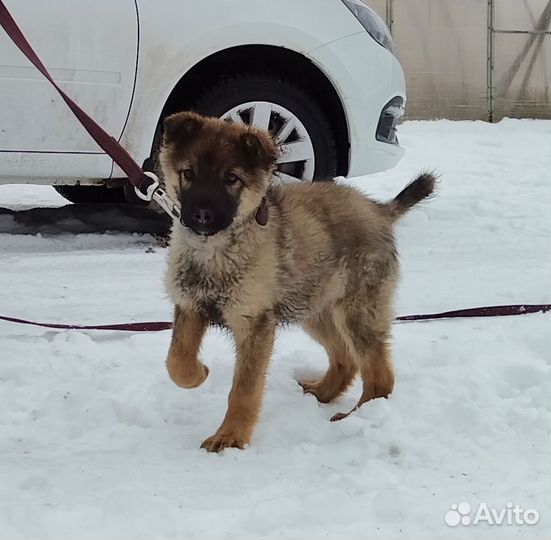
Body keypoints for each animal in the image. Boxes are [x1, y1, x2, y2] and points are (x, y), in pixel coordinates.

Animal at [160, 110, 436, 452]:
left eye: (231, 178)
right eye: (188, 173)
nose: (201, 216)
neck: (215, 252)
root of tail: (379, 210)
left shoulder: (256, 324)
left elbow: (244, 390)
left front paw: (231, 437)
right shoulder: (189, 306)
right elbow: (177, 361)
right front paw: (198, 373)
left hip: (356, 312)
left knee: (379, 375)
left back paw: (356, 415)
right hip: (314, 308)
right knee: (346, 360)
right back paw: (323, 393)